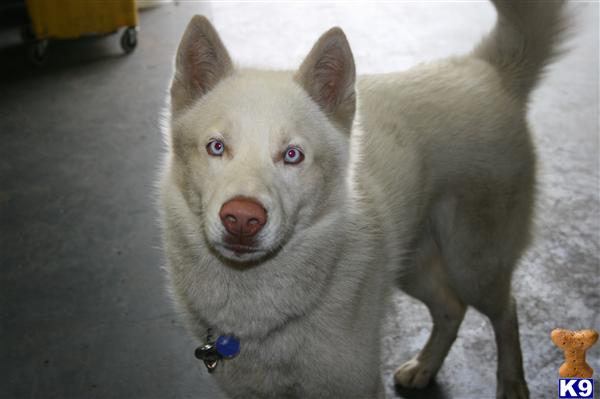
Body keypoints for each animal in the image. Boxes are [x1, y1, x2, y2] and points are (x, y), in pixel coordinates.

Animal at [158, 1, 568, 398]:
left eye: (292, 155)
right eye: (216, 147)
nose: (242, 218)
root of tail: (487, 69)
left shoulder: (357, 384)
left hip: (474, 265)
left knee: (506, 310)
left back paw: (512, 384)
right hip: (414, 264)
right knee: (451, 308)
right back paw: (425, 367)